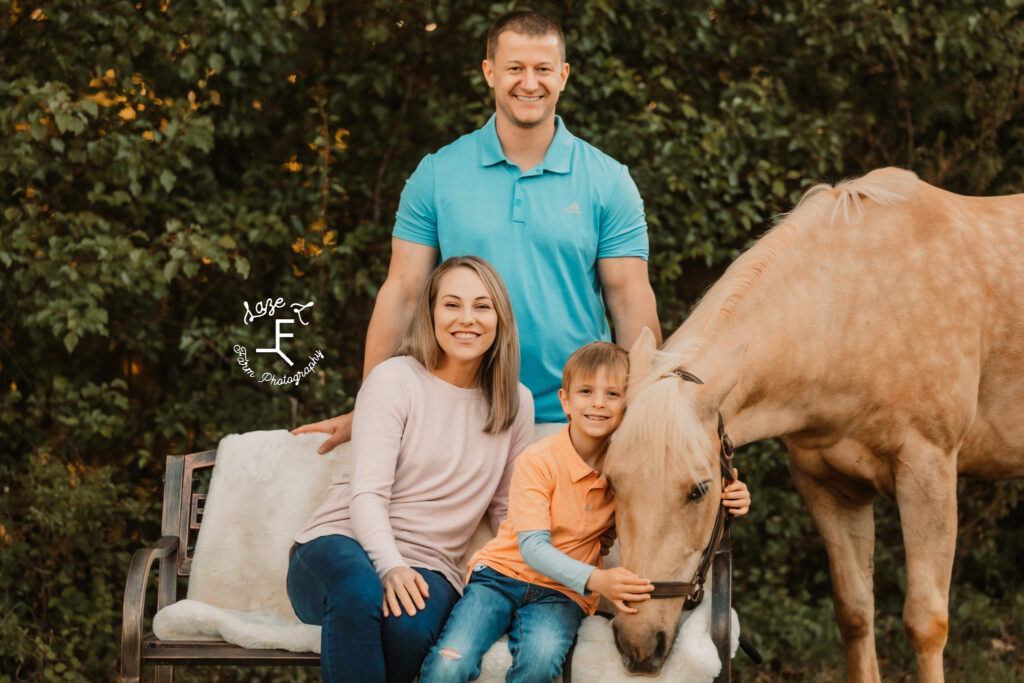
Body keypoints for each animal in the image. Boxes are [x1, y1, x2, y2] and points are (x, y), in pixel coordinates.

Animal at [602, 166, 1024, 683]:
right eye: (612, 484)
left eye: (698, 491)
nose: (638, 645)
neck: (857, 309)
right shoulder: (829, 487)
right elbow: (855, 614)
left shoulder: (929, 475)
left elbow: (926, 624)